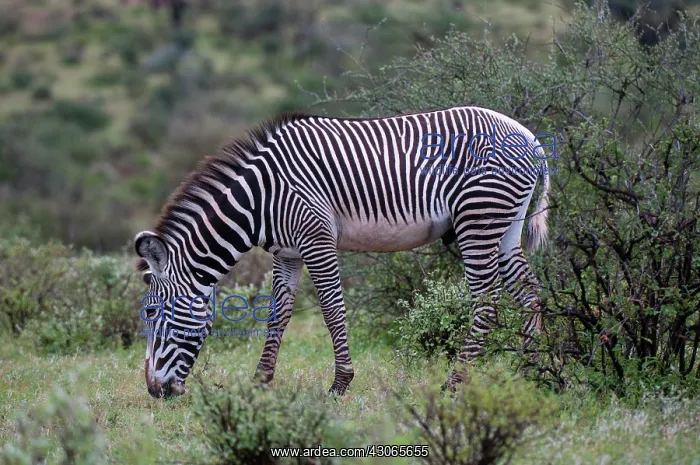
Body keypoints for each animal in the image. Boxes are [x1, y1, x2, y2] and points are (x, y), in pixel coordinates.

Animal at [135, 105, 551, 398]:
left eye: (152, 312)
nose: (156, 392)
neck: (259, 199)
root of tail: (531, 139)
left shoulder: (316, 239)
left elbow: (333, 311)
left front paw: (340, 383)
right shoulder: (287, 252)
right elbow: (277, 317)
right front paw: (260, 382)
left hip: (478, 219)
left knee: (487, 300)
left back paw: (456, 382)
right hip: (506, 226)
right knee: (529, 292)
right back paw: (533, 374)